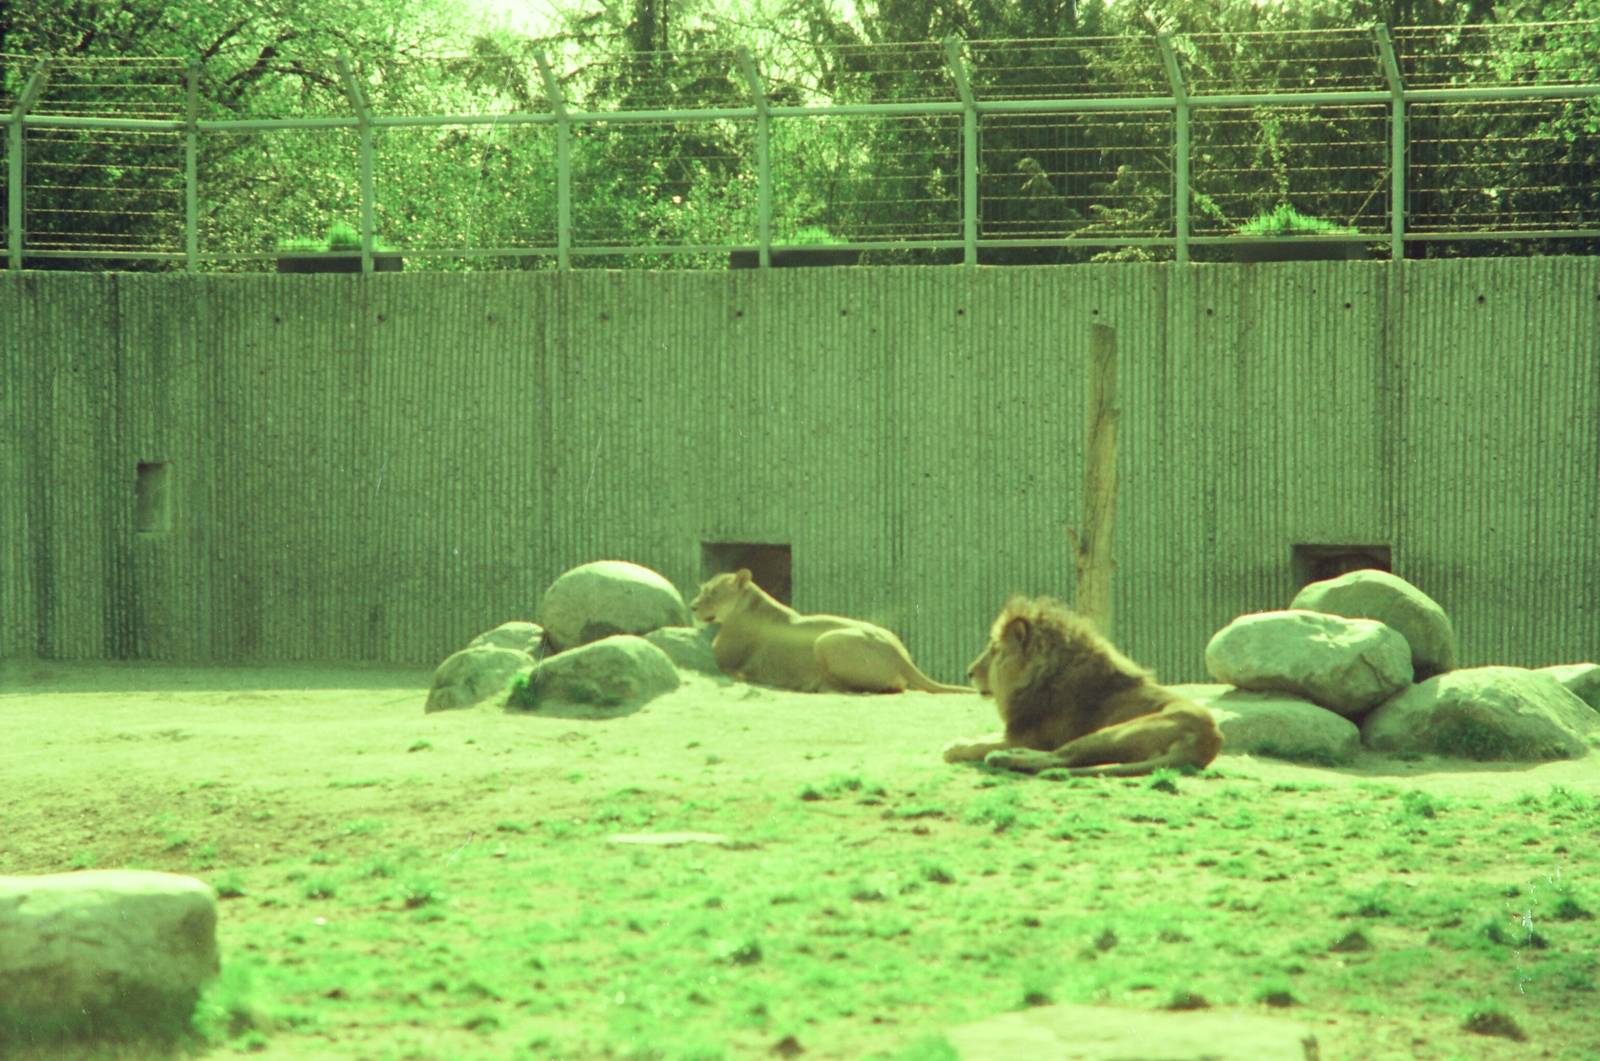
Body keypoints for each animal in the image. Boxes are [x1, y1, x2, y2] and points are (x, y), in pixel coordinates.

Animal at [690, 569, 969, 694]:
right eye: (702, 589)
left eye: (712, 593)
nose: (692, 606)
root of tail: (901, 655)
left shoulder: (724, 658)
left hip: (826, 641)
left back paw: (814, 685)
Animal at [943, 595, 1222, 776]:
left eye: (994, 650)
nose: (968, 672)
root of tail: (1206, 740)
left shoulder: (1032, 738)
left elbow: (982, 745)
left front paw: (955, 748)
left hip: (1114, 732)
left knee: (1060, 757)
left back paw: (1004, 758)